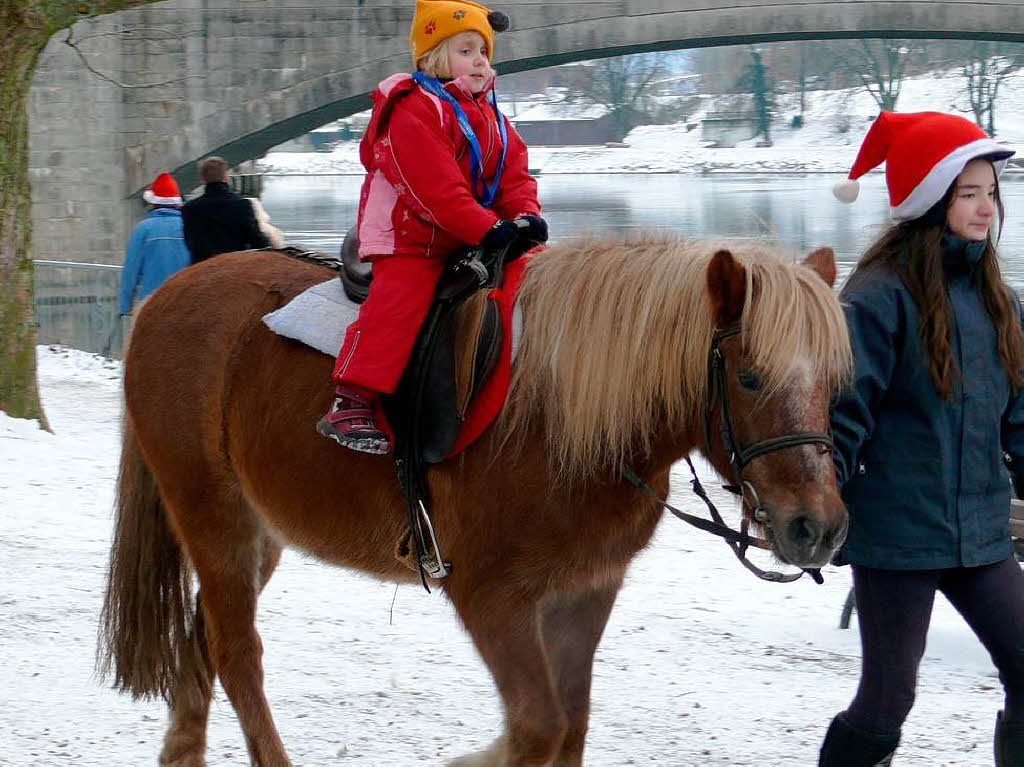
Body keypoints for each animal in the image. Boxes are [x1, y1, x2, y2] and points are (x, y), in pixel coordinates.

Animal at [101, 234, 856, 765]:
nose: (815, 526)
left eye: (831, 382)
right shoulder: (493, 597)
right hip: (213, 515)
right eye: (750, 377)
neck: (564, 414)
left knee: (202, 636)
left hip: (258, 532)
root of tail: (168, 293)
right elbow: (536, 729)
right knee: (236, 653)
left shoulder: (584, 591)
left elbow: (569, 727)